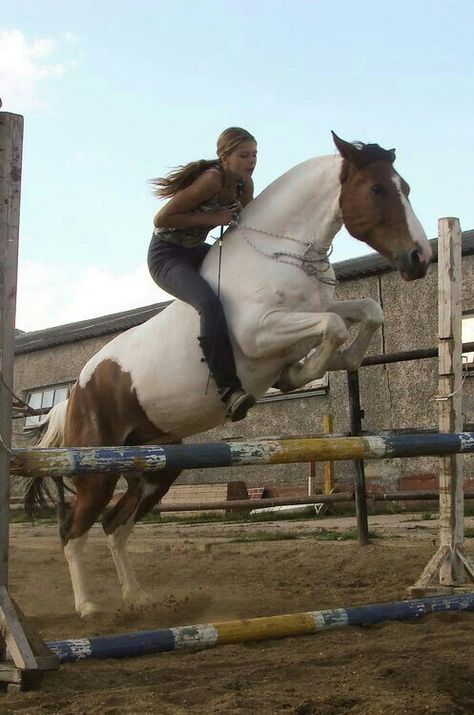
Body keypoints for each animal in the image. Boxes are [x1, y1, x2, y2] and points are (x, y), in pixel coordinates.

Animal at [23, 133, 434, 616]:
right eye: (377, 189)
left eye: (405, 187)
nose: (420, 258)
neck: (284, 254)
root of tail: (75, 391)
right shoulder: (260, 332)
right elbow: (331, 327)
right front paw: (296, 374)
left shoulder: (317, 311)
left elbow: (367, 311)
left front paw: (322, 366)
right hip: (98, 468)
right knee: (73, 530)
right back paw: (89, 607)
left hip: (156, 468)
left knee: (115, 524)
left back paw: (138, 598)